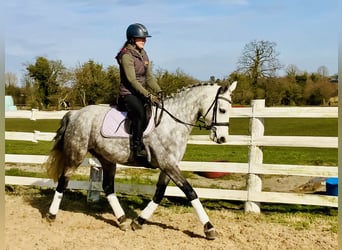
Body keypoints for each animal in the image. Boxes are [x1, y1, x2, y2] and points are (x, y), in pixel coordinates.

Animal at [44, 81, 238, 239]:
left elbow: (159, 193)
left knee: (108, 187)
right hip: (75, 155)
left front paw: (138, 221)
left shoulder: (168, 166)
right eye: (222, 110)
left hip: (107, 159)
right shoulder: (168, 164)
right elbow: (190, 192)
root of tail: (74, 114)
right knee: (63, 181)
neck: (173, 122)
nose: (222, 139)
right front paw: (209, 228)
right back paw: (51, 216)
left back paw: (122, 220)